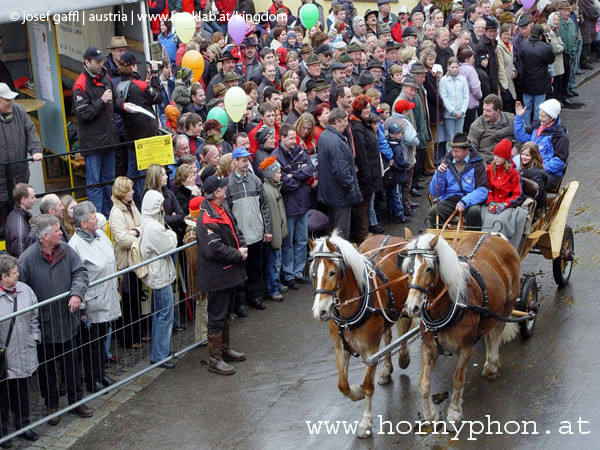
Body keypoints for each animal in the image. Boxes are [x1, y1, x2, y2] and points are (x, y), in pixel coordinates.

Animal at [310, 234, 412, 438]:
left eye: (332, 272)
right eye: (313, 274)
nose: (320, 312)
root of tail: (393, 237)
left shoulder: (370, 351)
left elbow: (368, 386)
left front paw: (366, 422)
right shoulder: (340, 347)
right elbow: (342, 385)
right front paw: (356, 393)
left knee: (404, 330)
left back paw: (404, 357)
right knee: (388, 338)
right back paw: (386, 370)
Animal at [404, 230, 520, 424]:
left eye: (428, 268)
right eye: (408, 269)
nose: (412, 307)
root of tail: (493, 234)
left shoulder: (465, 349)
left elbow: (458, 380)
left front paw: (454, 411)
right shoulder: (428, 347)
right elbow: (424, 384)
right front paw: (430, 414)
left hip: (508, 304)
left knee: (497, 331)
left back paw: (492, 365)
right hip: (490, 311)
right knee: (488, 333)